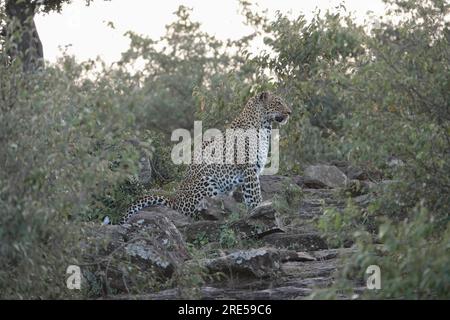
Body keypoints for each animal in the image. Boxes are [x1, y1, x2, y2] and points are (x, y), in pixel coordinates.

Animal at [117, 90, 292, 225]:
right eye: (278, 103)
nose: (290, 112)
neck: (264, 126)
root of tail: (175, 199)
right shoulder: (249, 168)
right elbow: (255, 195)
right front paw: (259, 209)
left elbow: (250, 196)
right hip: (207, 182)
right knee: (195, 213)